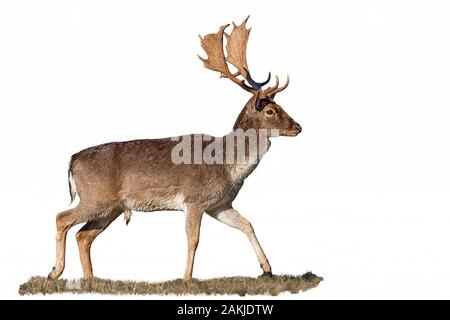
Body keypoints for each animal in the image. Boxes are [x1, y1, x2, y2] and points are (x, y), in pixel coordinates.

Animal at [48, 18, 302, 282]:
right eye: (270, 111)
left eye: (281, 105)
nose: (298, 127)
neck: (227, 166)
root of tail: (71, 160)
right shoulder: (194, 199)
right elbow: (193, 240)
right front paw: (187, 278)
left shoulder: (219, 205)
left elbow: (248, 224)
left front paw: (267, 268)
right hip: (95, 197)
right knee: (61, 218)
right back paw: (55, 271)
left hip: (112, 207)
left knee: (83, 236)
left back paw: (90, 278)